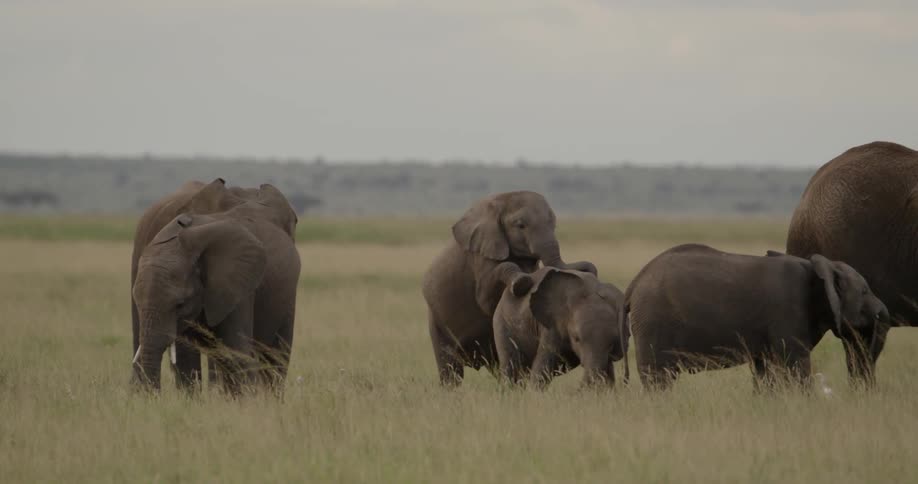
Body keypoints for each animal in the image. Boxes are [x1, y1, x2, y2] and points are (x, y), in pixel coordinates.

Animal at [421, 191, 598, 386]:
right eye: (520, 225)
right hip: (436, 321)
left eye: (554, 224)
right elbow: (486, 298)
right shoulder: (481, 256)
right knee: (450, 370)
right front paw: (521, 282)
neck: (500, 200)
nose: (591, 268)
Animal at [493, 267, 624, 389]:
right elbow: (544, 366)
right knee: (511, 366)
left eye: (614, 343)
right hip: (502, 322)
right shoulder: (552, 324)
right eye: (576, 339)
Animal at [621, 243, 888, 391]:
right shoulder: (788, 312)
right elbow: (796, 365)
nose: (882, 314)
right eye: (865, 291)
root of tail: (633, 284)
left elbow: (764, 370)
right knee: (658, 378)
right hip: (653, 322)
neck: (820, 269)